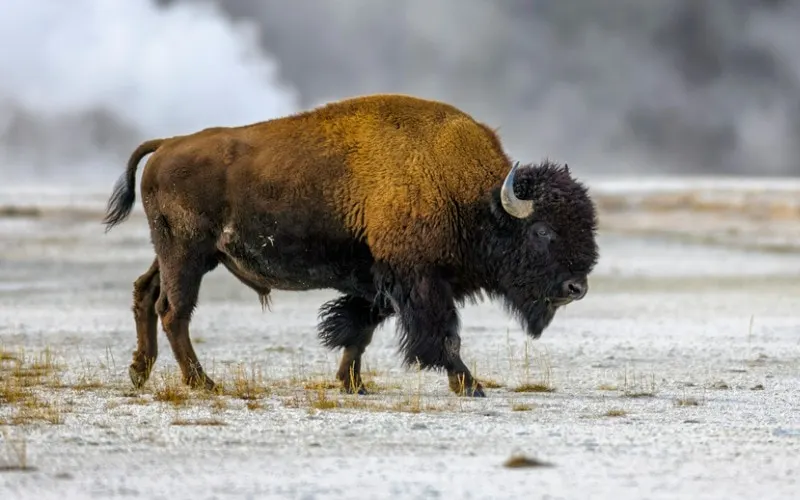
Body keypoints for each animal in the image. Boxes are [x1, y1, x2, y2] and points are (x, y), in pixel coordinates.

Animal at [103, 94, 596, 398]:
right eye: (542, 231)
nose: (577, 288)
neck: (471, 196)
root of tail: (167, 144)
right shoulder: (418, 281)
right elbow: (443, 336)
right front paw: (470, 384)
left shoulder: (376, 281)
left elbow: (358, 332)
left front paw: (353, 384)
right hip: (186, 254)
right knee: (174, 311)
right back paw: (202, 383)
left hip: (184, 255)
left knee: (146, 293)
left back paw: (139, 372)